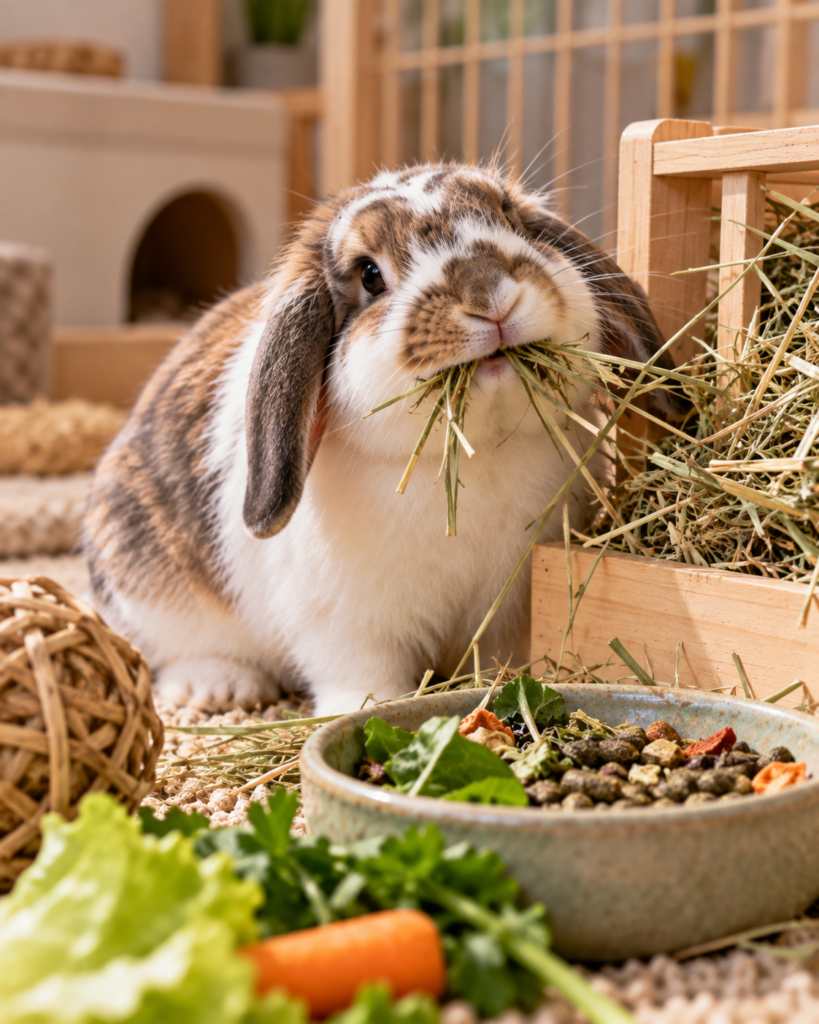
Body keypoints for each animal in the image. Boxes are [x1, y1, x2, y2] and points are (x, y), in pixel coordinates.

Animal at [83, 163, 678, 715]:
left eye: (509, 218)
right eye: (369, 275)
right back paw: (218, 687)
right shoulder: (347, 628)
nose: (488, 294)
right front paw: (365, 709)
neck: (477, 455)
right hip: (148, 586)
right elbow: (362, 675)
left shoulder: (508, 617)